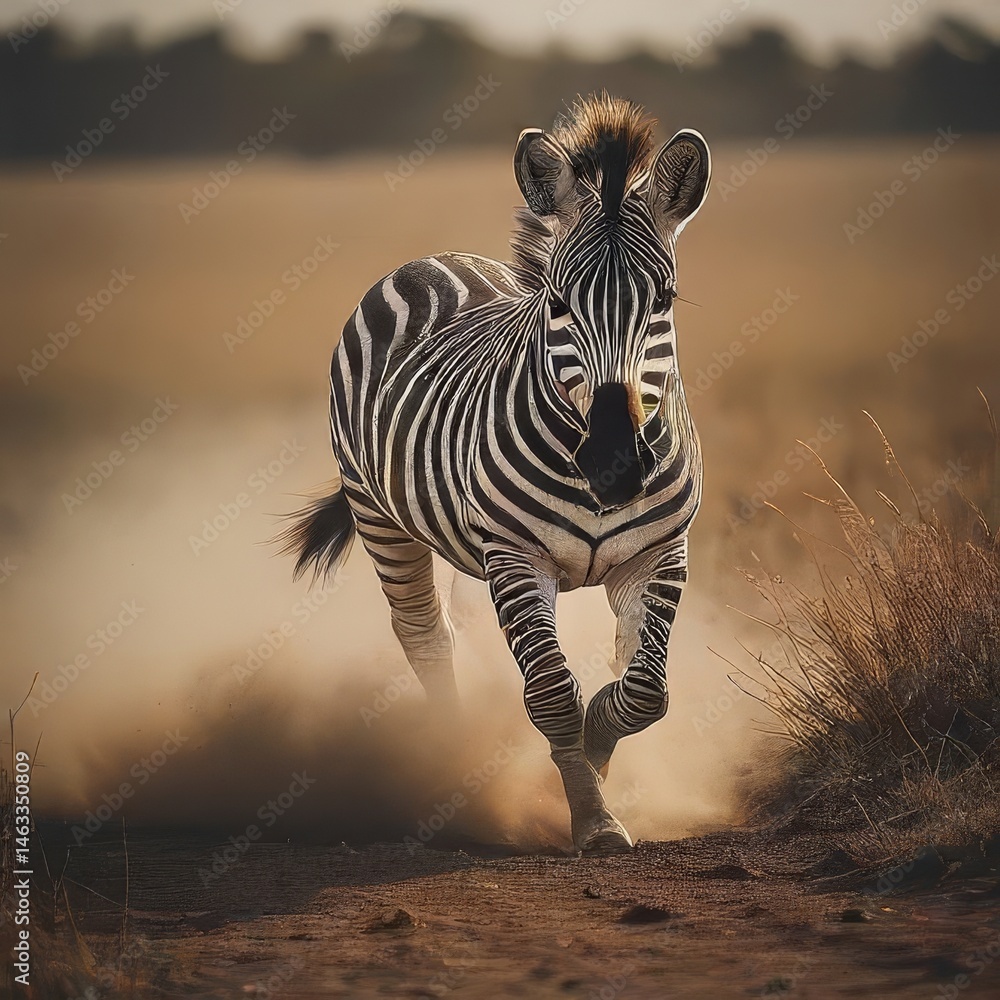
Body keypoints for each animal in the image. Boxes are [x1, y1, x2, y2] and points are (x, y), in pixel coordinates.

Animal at [283, 94, 710, 855]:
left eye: (663, 298)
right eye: (559, 302)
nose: (614, 464)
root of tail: (431, 260)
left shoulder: (659, 553)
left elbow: (645, 688)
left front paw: (597, 752)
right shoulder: (515, 555)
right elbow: (552, 693)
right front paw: (593, 816)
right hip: (379, 514)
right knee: (425, 634)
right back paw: (450, 760)